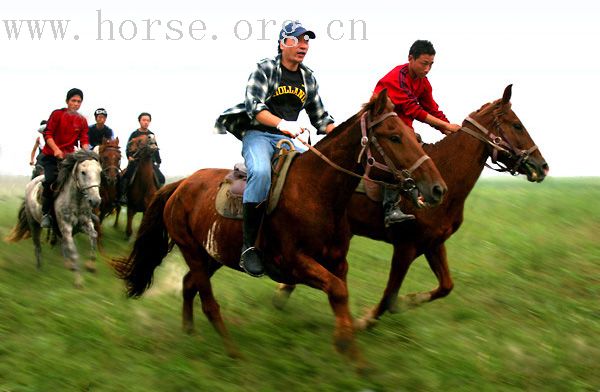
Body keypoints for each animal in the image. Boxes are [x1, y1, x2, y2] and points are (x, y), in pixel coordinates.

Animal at [6, 150, 102, 288]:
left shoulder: (84, 223)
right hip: (34, 223)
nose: (95, 201)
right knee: (37, 245)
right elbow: (73, 252)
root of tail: (31, 183)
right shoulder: (66, 227)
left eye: (100, 172)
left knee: (61, 243)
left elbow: (94, 236)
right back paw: (39, 268)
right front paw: (79, 282)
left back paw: (67, 264)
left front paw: (91, 266)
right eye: (83, 172)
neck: (76, 201)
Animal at [115, 90, 448, 366]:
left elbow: (340, 296)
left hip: (212, 255)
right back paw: (233, 353)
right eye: (394, 137)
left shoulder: (337, 263)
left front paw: (350, 348)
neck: (316, 191)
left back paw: (190, 332)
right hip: (193, 251)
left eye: (414, 135)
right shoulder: (293, 263)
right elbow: (337, 292)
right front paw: (350, 350)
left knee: (188, 285)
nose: (437, 189)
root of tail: (180, 185)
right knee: (208, 303)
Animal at [274, 84, 552, 330]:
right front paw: (365, 320)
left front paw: (409, 300)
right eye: (517, 125)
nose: (543, 167)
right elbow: (389, 296)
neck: (446, 174)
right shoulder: (406, 247)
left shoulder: (434, 243)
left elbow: (445, 286)